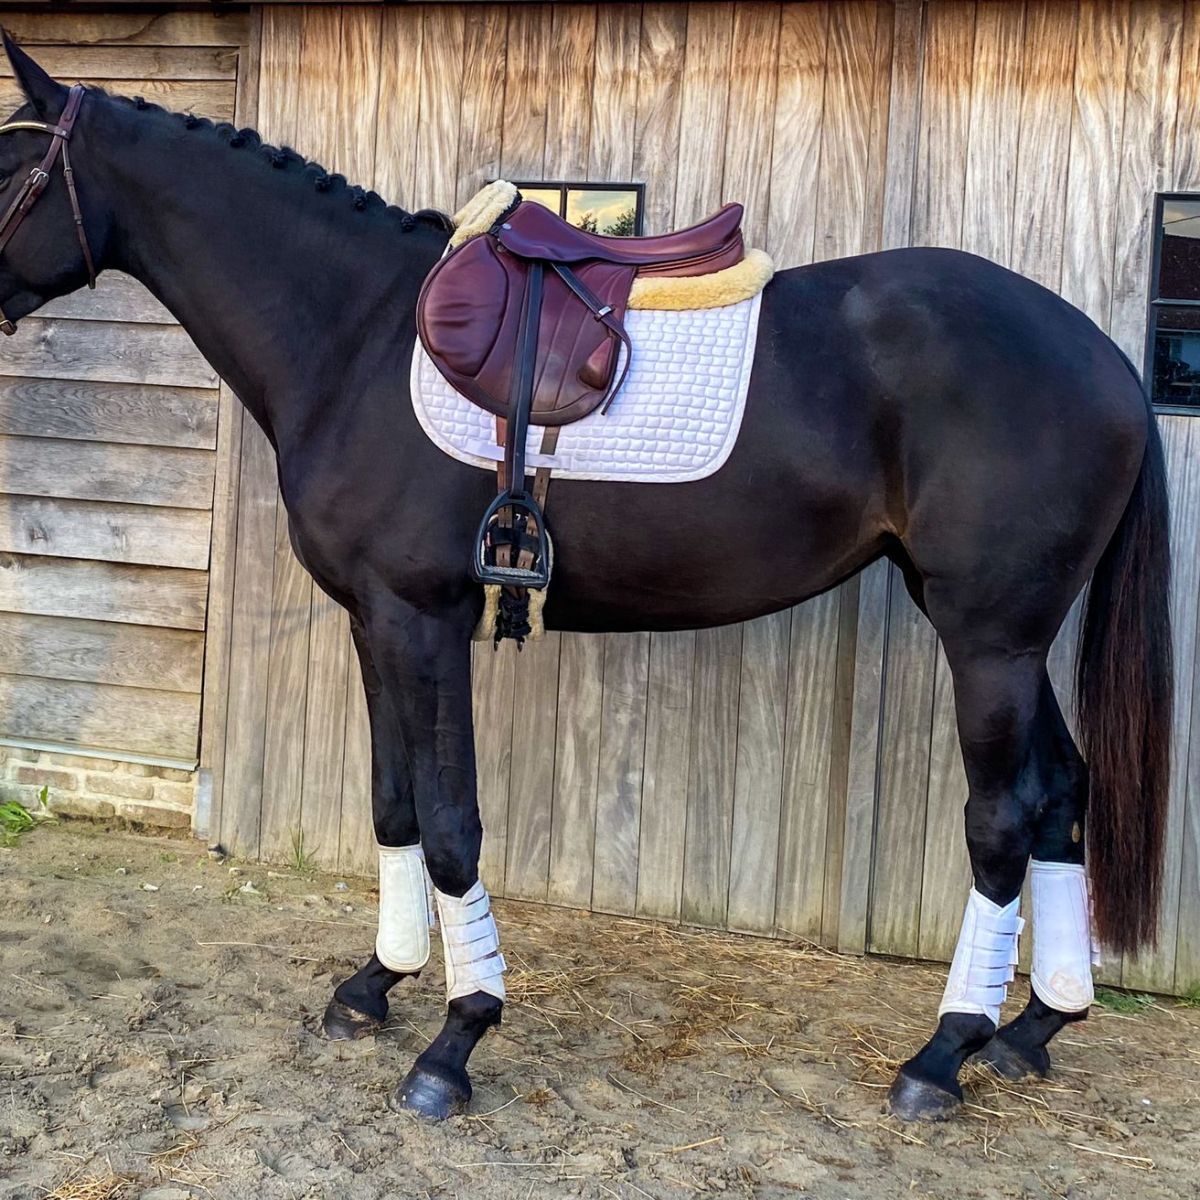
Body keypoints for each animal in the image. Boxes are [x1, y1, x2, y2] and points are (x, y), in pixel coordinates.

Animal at [0, 38, 1171, 1124]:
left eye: (6, 164)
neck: (354, 336)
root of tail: (1107, 359)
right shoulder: (374, 620)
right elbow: (391, 803)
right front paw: (376, 985)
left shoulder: (423, 619)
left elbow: (453, 821)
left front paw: (457, 1039)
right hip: (996, 632)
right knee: (1062, 792)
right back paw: (1032, 1028)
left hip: (989, 639)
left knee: (1005, 818)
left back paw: (941, 1055)